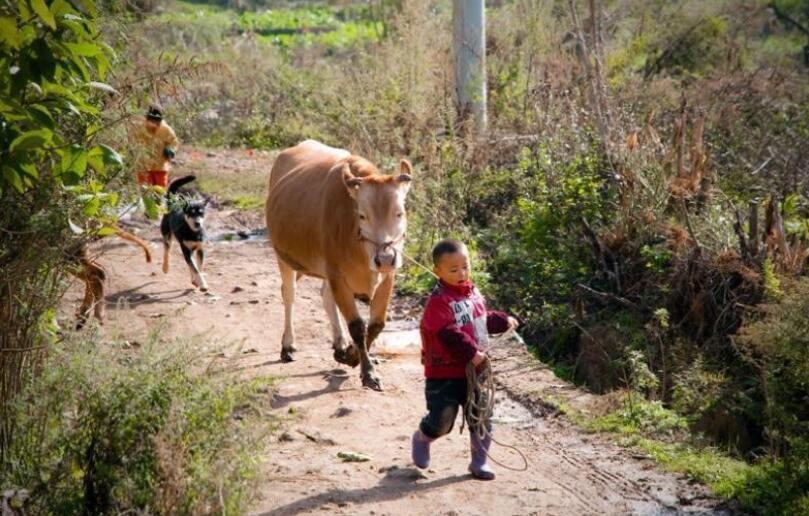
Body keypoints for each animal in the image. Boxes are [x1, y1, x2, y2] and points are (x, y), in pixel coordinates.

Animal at [268, 139, 414, 390]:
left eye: (400, 213)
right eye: (362, 215)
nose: (385, 258)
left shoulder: (387, 277)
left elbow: (376, 324)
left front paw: (351, 354)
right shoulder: (337, 274)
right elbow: (357, 326)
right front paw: (367, 371)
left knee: (326, 296)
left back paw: (339, 343)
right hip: (284, 257)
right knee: (289, 293)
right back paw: (288, 345)